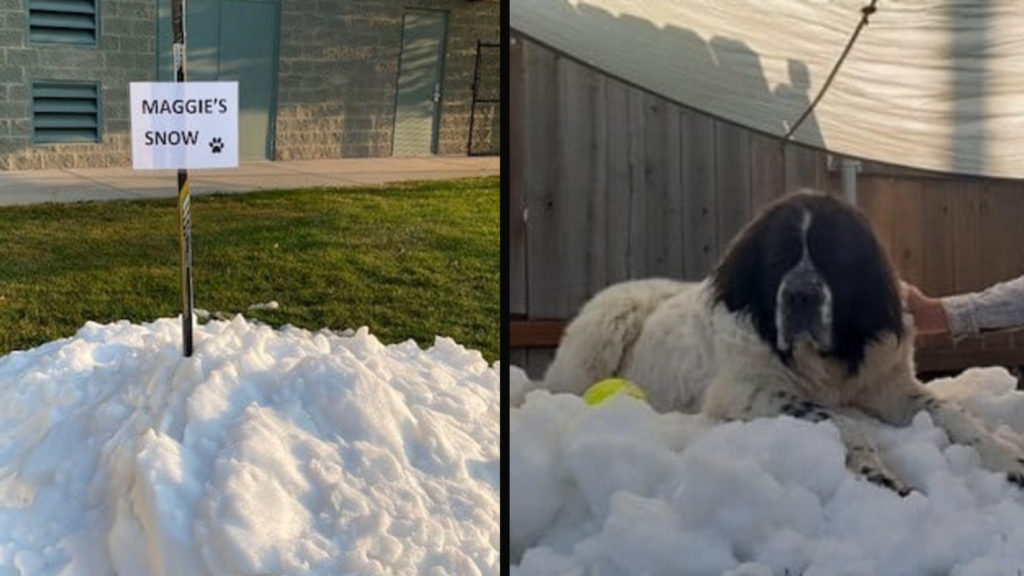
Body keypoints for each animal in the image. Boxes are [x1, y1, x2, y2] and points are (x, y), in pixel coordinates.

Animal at [540, 189, 1024, 494]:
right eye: (777, 259)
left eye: (836, 258)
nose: (800, 296)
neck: (825, 360)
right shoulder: (748, 390)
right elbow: (844, 422)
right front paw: (876, 471)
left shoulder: (888, 382)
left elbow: (952, 413)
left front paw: (1007, 457)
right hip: (604, 328)